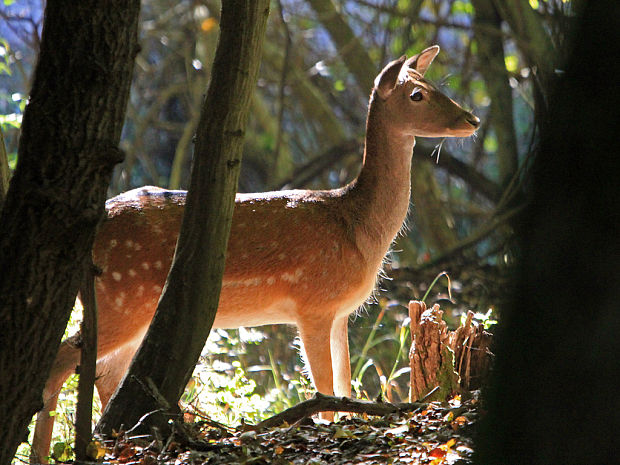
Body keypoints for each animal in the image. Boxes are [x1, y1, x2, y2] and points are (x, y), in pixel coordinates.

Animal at [32, 46, 480, 460]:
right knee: (61, 363)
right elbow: (325, 393)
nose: (472, 119)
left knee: (106, 373)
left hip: (131, 308)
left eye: (435, 83)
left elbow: (344, 383)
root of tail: (93, 229)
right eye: (417, 94)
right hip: (119, 297)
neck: (357, 228)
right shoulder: (313, 303)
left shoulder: (340, 312)